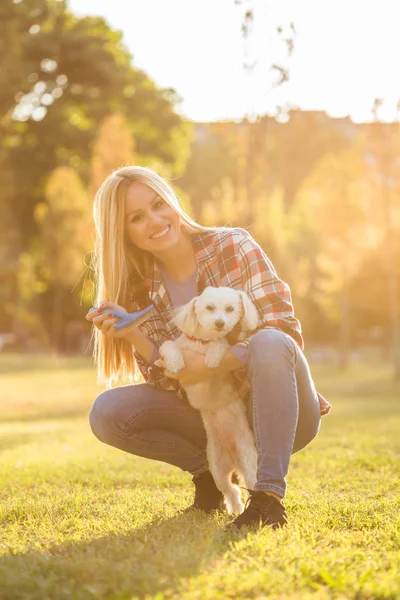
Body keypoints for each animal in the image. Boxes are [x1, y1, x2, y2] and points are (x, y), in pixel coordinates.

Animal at [159, 288, 260, 512]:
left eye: (230, 309)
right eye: (209, 308)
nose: (220, 323)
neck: (201, 343)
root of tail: (233, 457)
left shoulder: (221, 351)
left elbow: (219, 347)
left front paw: (212, 358)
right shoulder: (175, 346)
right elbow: (169, 346)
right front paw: (176, 362)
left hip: (248, 461)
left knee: (249, 485)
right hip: (217, 467)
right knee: (231, 489)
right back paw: (235, 508)